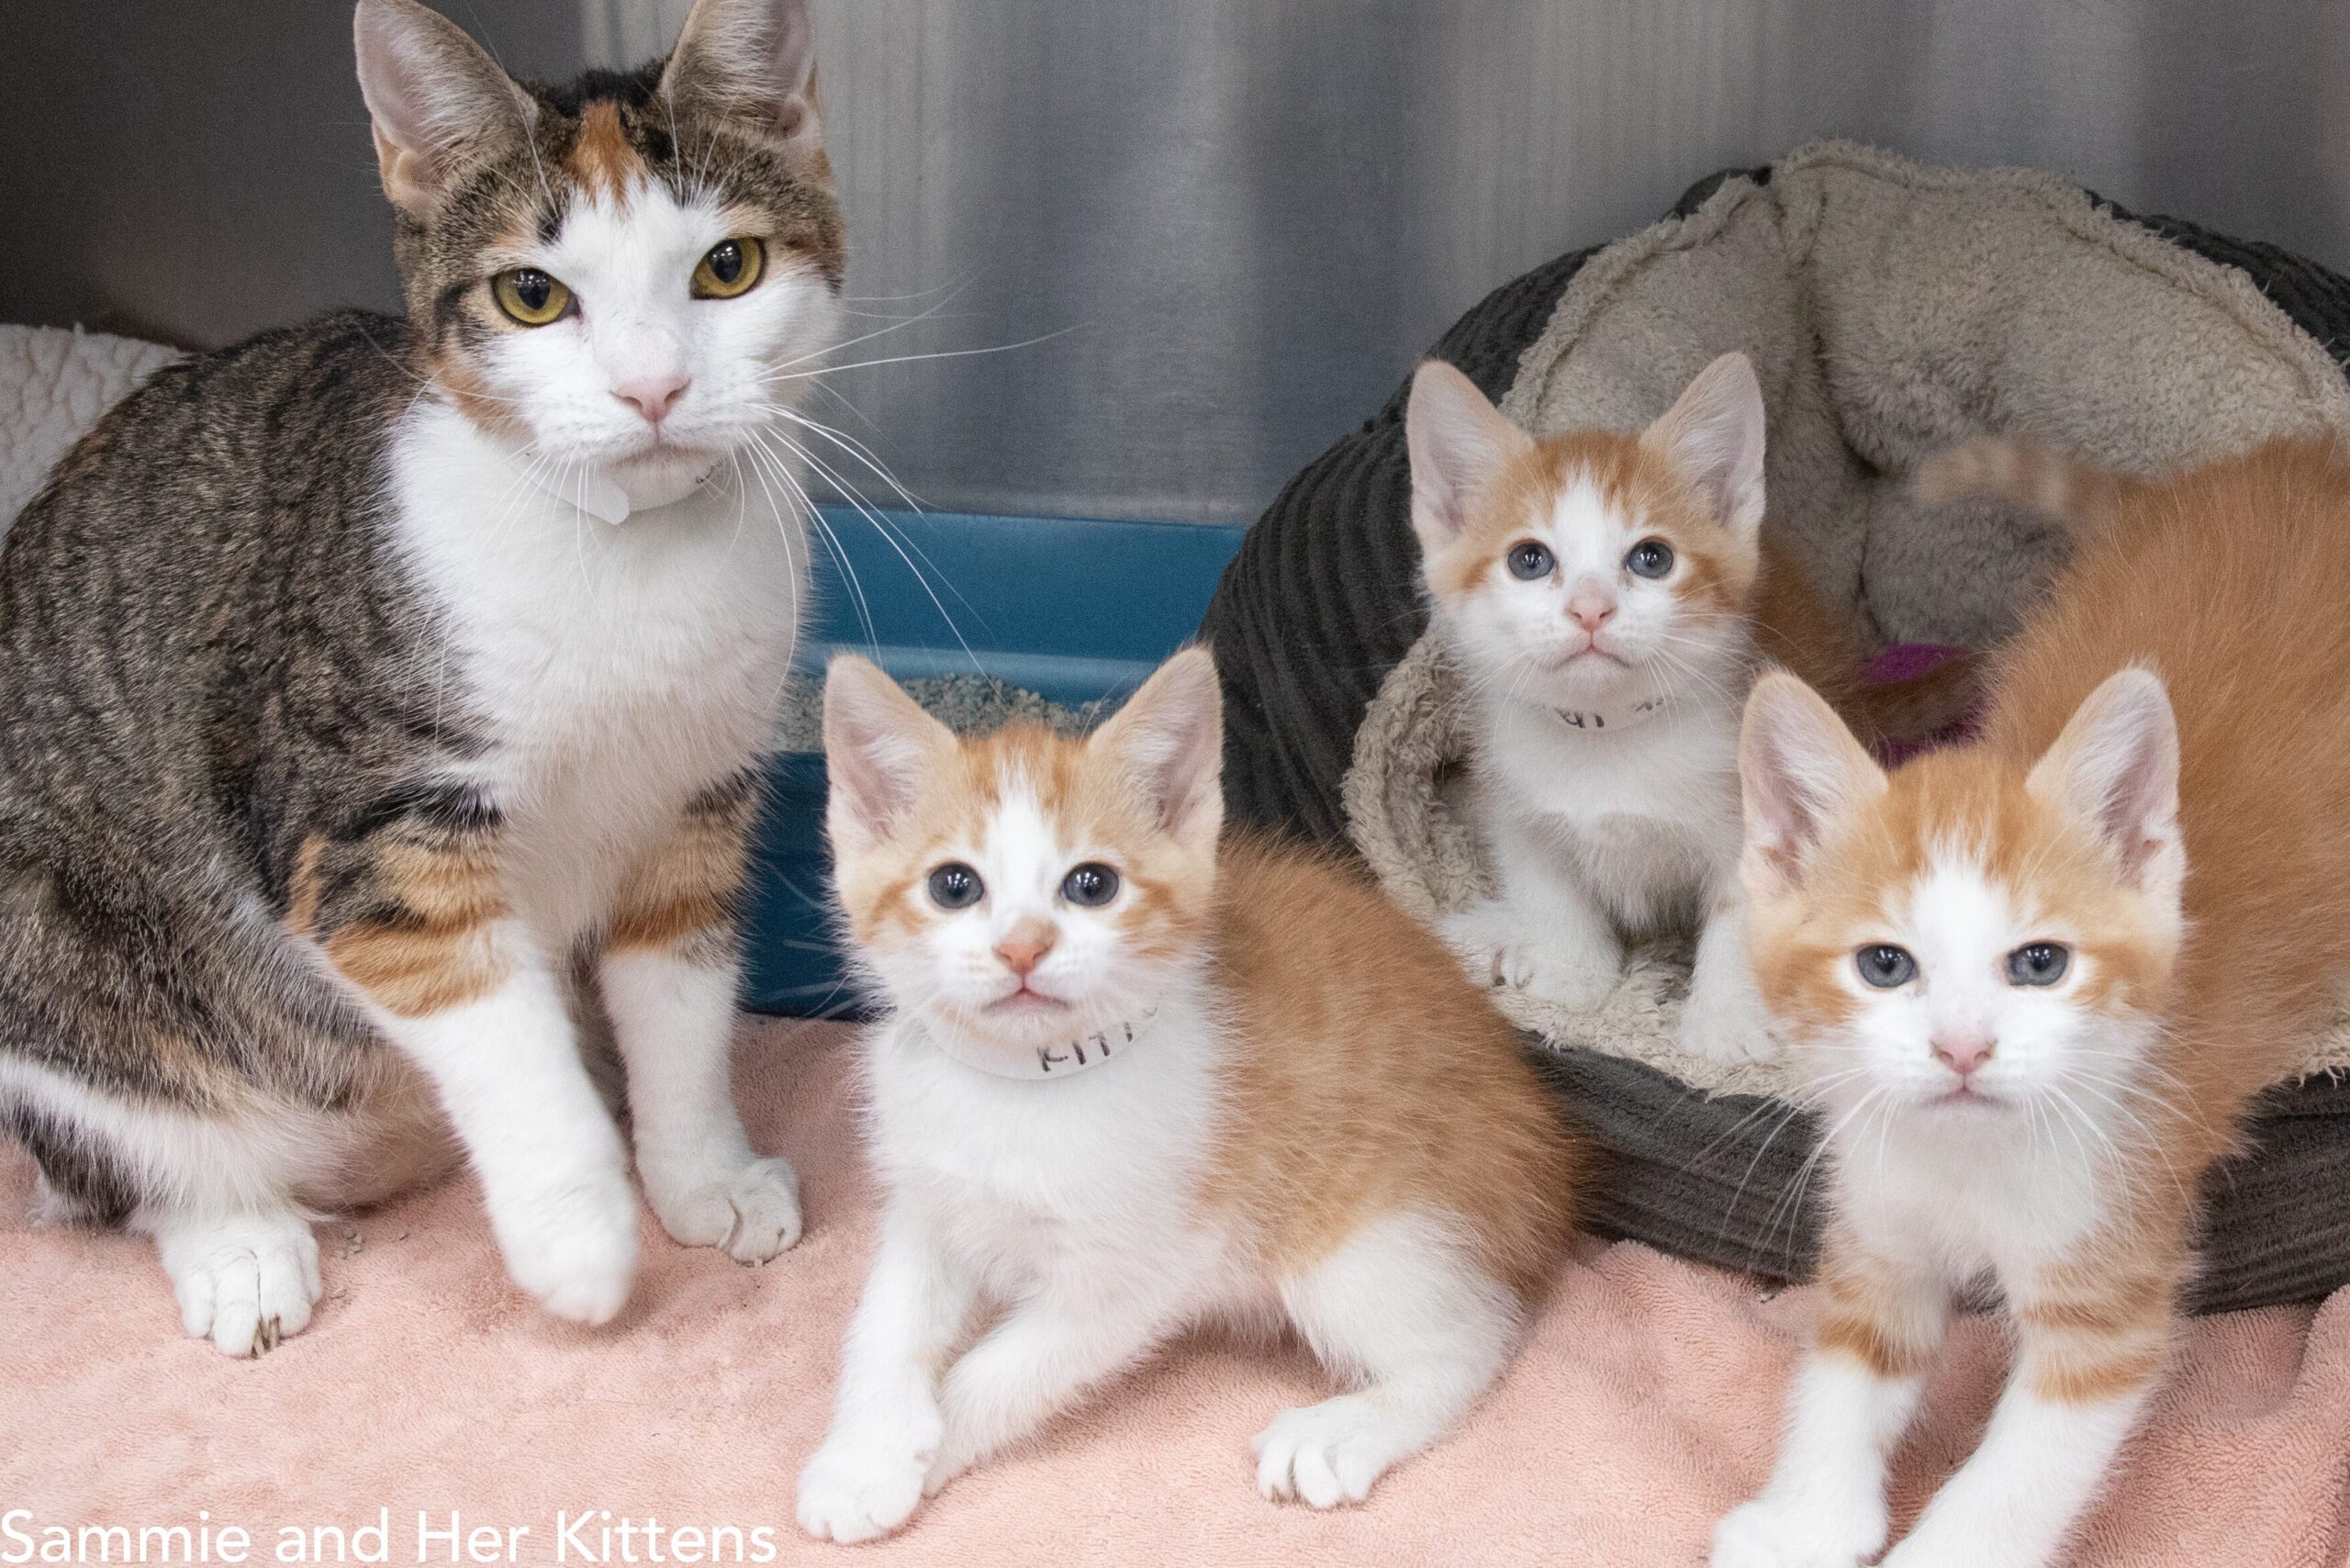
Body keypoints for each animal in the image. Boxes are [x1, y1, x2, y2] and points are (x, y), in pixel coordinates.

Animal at [0, 0, 845, 1353]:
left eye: (728, 268)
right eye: (532, 295)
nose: (652, 388)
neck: (621, 561)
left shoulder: (695, 796)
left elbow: (677, 999)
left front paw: (698, 1175)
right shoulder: (370, 834)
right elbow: (492, 1025)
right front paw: (579, 1235)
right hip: (57, 951)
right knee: (130, 1158)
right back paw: (236, 1241)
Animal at [799, 644, 1588, 1541]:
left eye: (1092, 885)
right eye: (954, 886)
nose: (1022, 948)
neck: (1025, 1087)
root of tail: (1552, 1168)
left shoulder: (1138, 1273)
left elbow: (1000, 1373)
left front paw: (925, 1455)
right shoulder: (927, 1202)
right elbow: (884, 1324)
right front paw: (862, 1458)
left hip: (1364, 1238)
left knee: (1475, 1342)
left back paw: (1345, 1429)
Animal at [1710, 432, 2350, 1568]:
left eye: (2039, 963)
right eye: (1884, 966)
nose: (1963, 1048)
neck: (1971, 1163)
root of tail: (2302, 463)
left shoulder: (2112, 1274)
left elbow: (2018, 1474)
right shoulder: (1879, 1228)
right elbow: (1843, 1372)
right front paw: (1802, 1522)